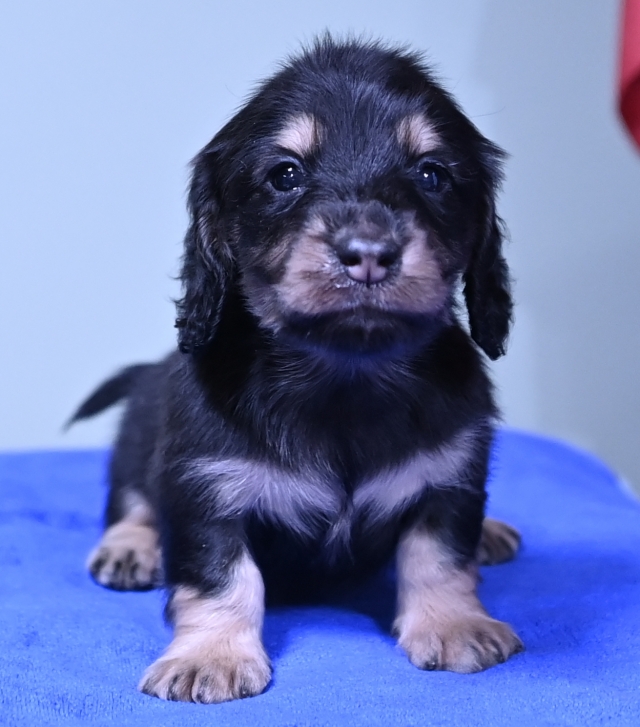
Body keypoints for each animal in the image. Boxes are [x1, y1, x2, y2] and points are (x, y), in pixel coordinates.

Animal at [69, 37, 523, 704]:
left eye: (432, 173)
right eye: (285, 174)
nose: (369, 253)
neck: (343, 378)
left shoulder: (450, 478)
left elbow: (439, 555)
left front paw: (454, 624)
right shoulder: (205, 489)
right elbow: (221, 576)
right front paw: (211, 656)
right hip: (138, 439)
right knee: (130, 500)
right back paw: (130, 548)